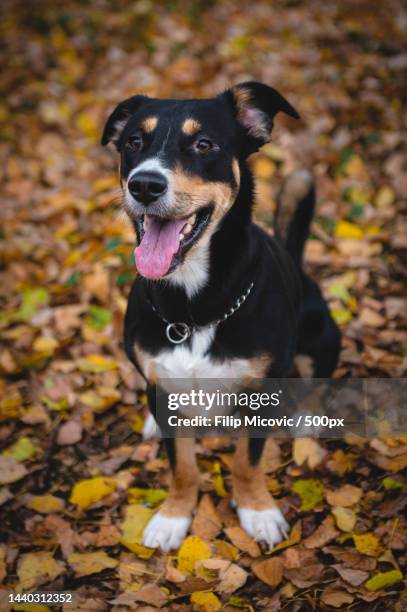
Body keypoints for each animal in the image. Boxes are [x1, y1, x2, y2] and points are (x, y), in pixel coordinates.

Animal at [101, 79, 342, 552]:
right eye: (134, 142)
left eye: (204, 144)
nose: (144, 185)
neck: (192, 309)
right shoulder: (163, 385)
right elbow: (182, 467)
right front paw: (174, 516)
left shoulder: (260, 392)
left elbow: (247, 461)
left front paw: (257, 510)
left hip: (321, 338)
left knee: (313, 382)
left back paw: (306, 426)